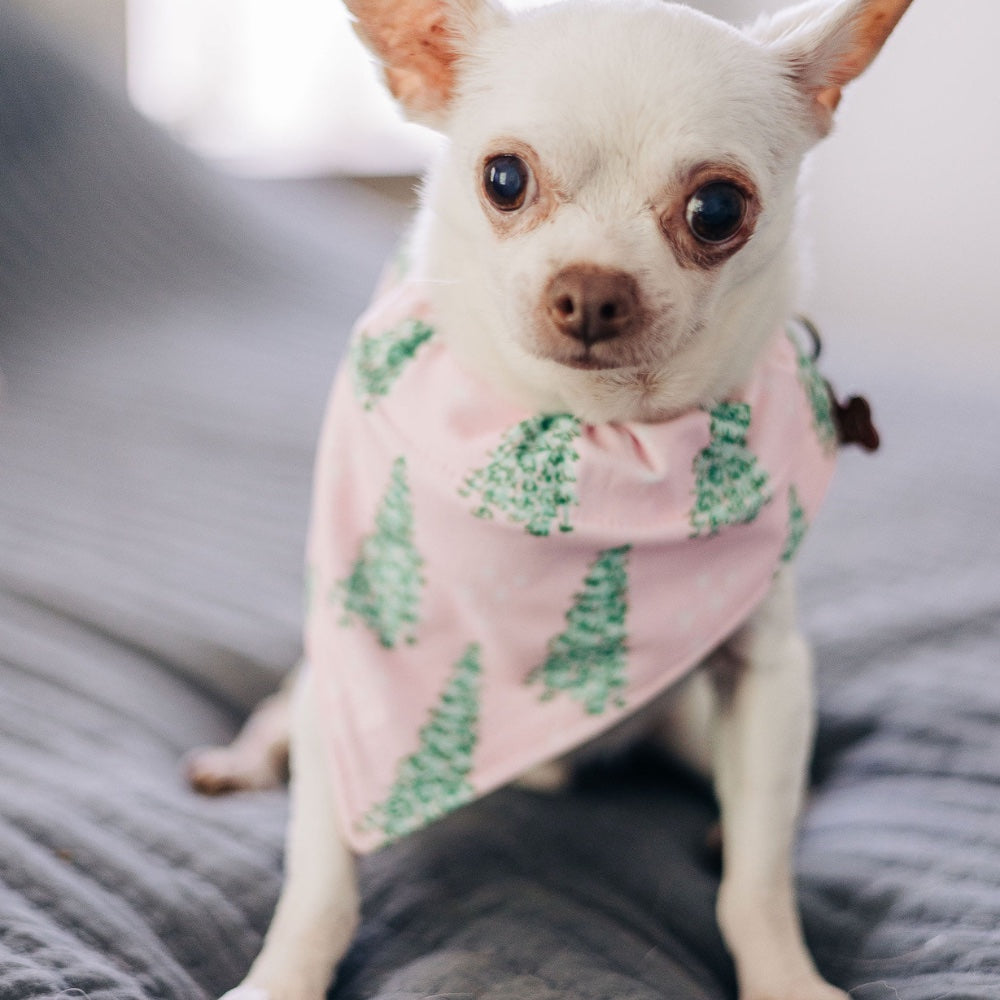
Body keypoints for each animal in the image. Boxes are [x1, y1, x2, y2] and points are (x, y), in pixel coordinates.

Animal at [189, 3, 916, 996]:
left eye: (717, 210)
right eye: (504, 180)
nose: (593, 291)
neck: (596, 440)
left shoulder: (766, 676)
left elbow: (759, 883)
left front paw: (784, 977)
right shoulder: (352, 671)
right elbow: (318, 881)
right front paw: (280, 979)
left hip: (696, 723)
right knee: (283, 712)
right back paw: (247, 754)